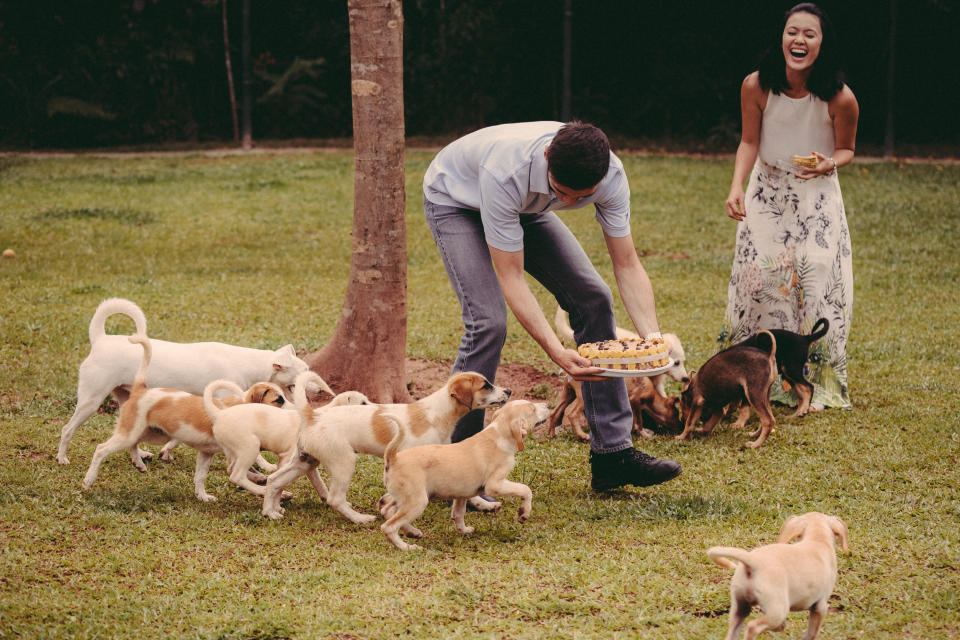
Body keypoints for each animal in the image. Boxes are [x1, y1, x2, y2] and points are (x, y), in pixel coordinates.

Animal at [56, 298, 310, 462]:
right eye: (306, 370)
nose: (315, 392)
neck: (247, 362)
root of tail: (100, 339)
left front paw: (166, 451)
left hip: (128, 402)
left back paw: (139, 457)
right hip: (90, 402)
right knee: (67, 429)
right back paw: (62, 458)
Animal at [81, 332, 284, 502]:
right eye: (278, 400)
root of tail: (141, 390)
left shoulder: (206, 453)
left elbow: (200, 477)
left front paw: (203, 497)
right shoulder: (232, 458)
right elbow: (246, 473)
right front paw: (269, 486)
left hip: (150, 433)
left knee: (133, 444)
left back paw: (138, 463)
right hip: (131, 433)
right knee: (101, 449)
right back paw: (89, 479)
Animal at [378, 400, 552, 552]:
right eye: (532, 409)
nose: (549, 405)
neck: (499, 434)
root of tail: (393, 457)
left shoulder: (462, 493)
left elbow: (458, 514)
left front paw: (464, 530)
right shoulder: (495, 485)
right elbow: (526, 489)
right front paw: (524, 513)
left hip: (404, 497)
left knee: (387, 509)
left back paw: (412, 532)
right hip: (417, 501)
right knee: (389, 526)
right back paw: (407, 547)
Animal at [704, 512, 848, 640]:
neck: (817, 539)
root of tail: (753, 561)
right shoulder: (820, 606)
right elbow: (812, 633)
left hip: (740, 607)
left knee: (733, 632)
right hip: (778, 609)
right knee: (752, 627)